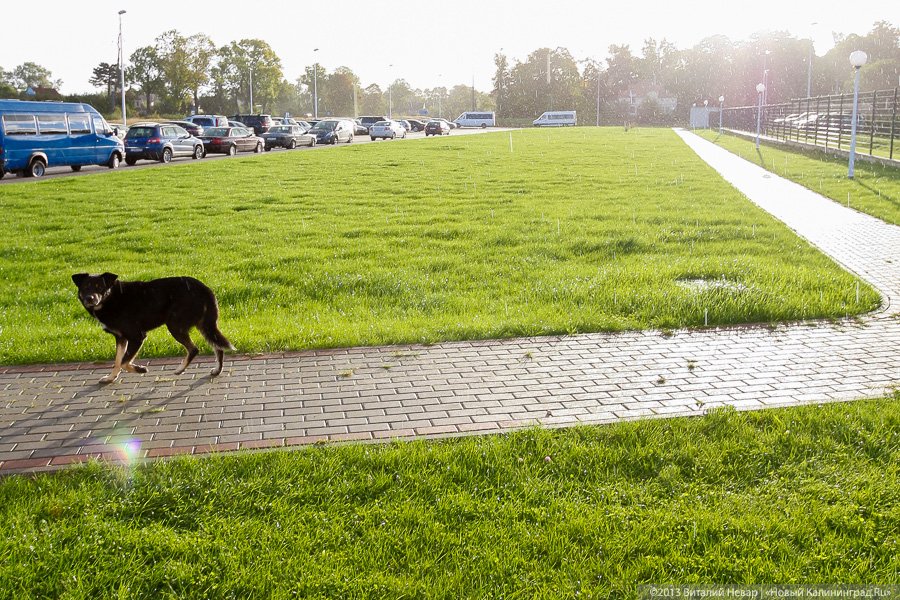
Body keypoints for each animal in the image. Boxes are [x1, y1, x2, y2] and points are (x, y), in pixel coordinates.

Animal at [73, 274, 234, 384]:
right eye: (85, 287)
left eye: (99, 287)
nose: (90, 298)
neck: (111, 297)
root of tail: (205, 289)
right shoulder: (120, 337)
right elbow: (118, 361)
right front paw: (111, 377)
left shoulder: (136, 336)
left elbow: (124, 362)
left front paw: (140, 369)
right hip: (204, 325)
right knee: (218, 348)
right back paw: (217, 370)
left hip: (175, 325)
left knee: (194, 349)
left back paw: (180, 369)